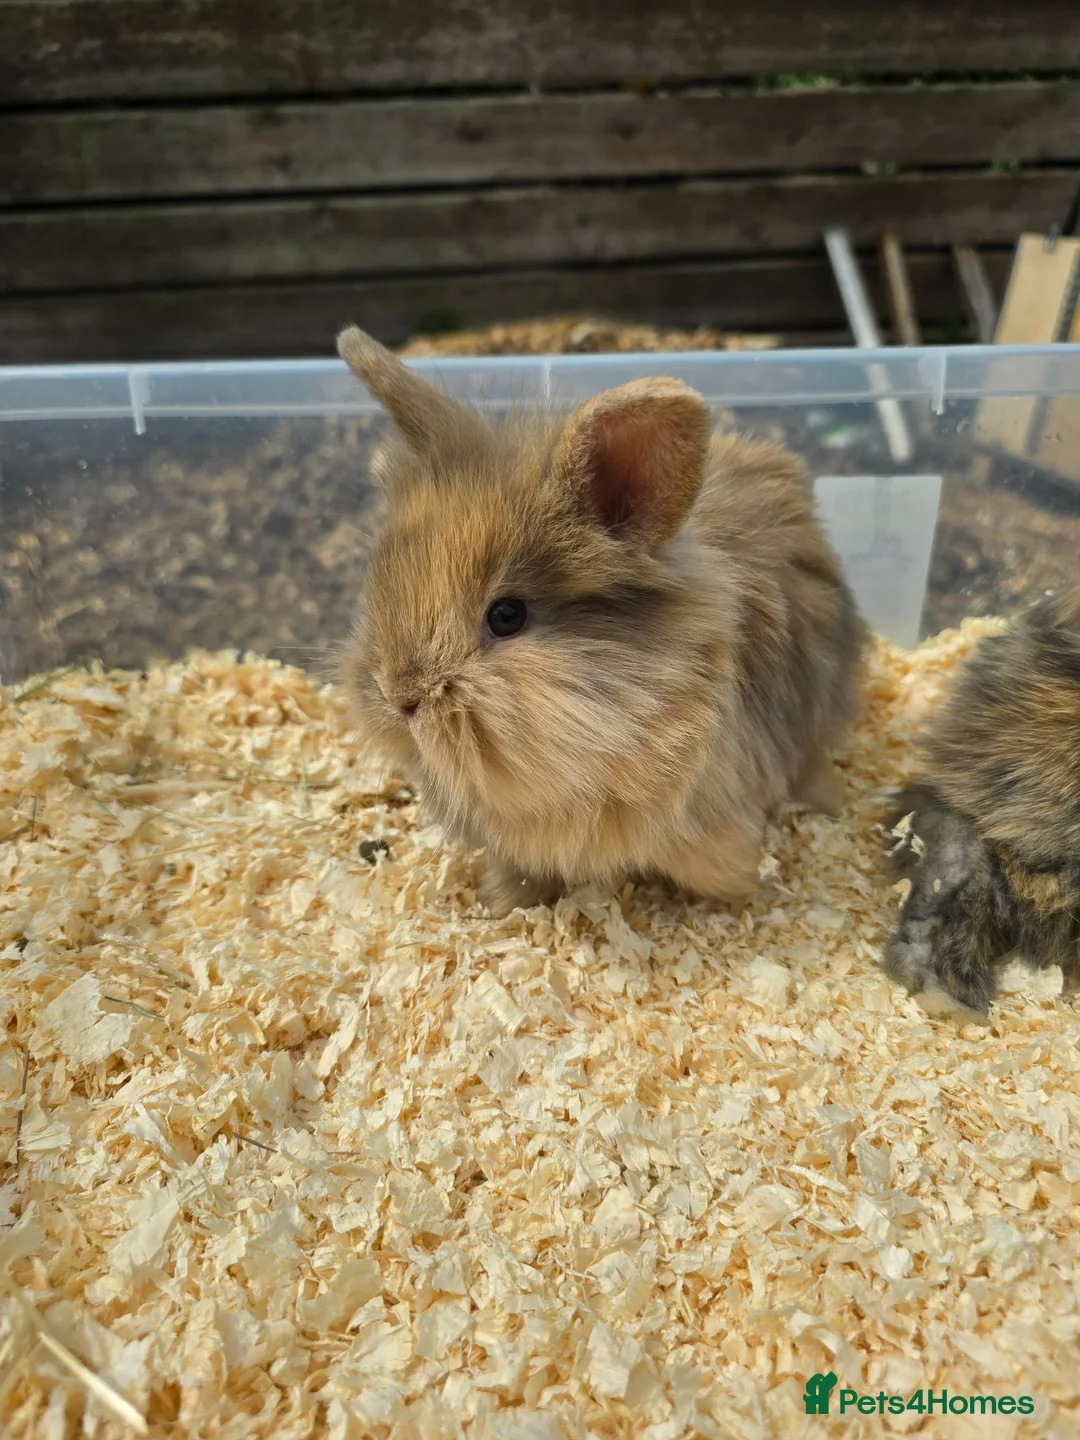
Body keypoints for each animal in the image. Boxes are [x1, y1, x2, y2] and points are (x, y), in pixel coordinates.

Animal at [336, 326, 864, 918]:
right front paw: (499, 905)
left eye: (506, 616)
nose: (397, 699)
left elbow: (727, 874)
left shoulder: (714, 830)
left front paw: (750, 899)